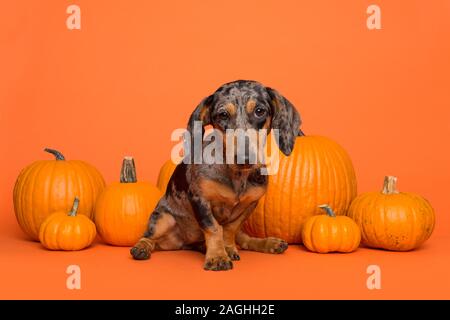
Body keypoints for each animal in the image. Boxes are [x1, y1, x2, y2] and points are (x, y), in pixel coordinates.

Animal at [130, 80, 302, 270]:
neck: (237, 177)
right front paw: (218, 256)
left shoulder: (249, 205)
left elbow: (229, 229)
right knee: (149, 237)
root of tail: (184, 242)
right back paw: (141, 248)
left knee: (245, 240)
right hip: (163, 219)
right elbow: (214, 228)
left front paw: (227, 249)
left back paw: (268, 243)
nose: (244, 159)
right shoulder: (199, 199)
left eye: (259, 111)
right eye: (223, 114)